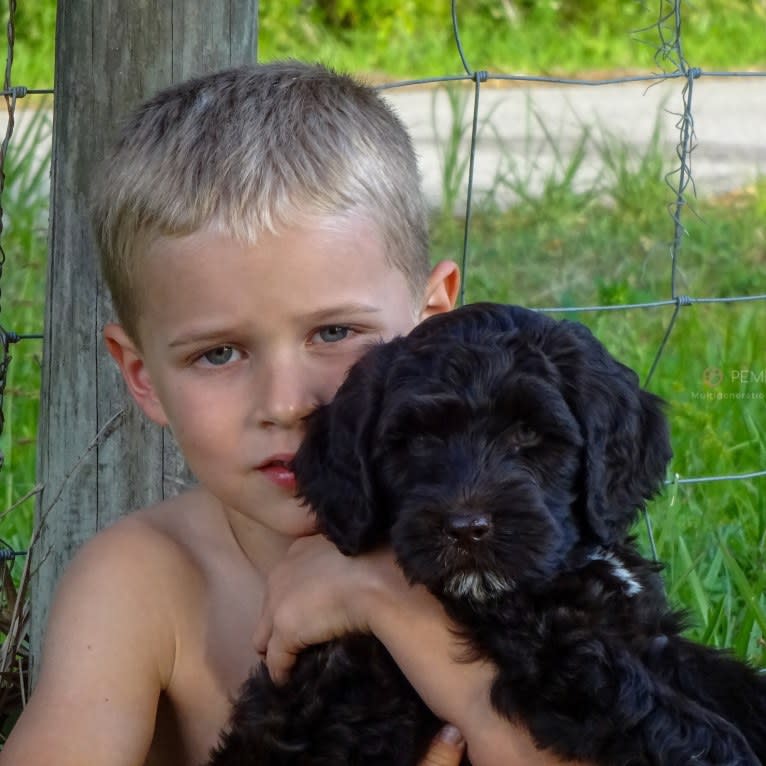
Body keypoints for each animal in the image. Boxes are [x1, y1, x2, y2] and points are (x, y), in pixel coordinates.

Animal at [210, 304, 766, 766]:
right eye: (418, 442)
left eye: (527, 433)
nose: (466, 529)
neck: (570, 562)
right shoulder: (554, 652)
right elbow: (651, 705)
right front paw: (728, 752)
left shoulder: (642, 630)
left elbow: (721, 677)